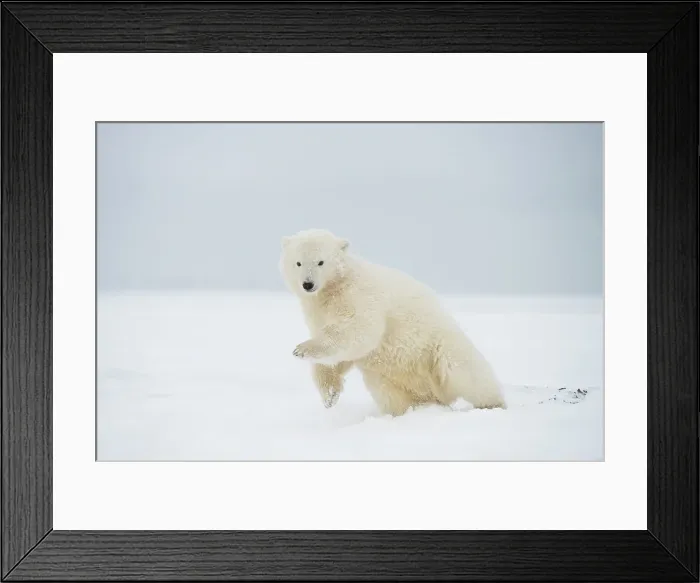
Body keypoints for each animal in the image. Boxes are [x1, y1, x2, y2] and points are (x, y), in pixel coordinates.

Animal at [279, 228, 506, 416]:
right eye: (298, 263)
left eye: (321, 262)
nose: (308, 284)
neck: (332, 289)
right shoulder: (317, 311)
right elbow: (337, 355)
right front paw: (329, 396)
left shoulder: (359, 296)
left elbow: (360, 331)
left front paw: (301, 349)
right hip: (390, 378)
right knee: (393, 396)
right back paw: (411, 411)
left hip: (438, 347)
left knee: (466, 373)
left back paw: (493, 404)